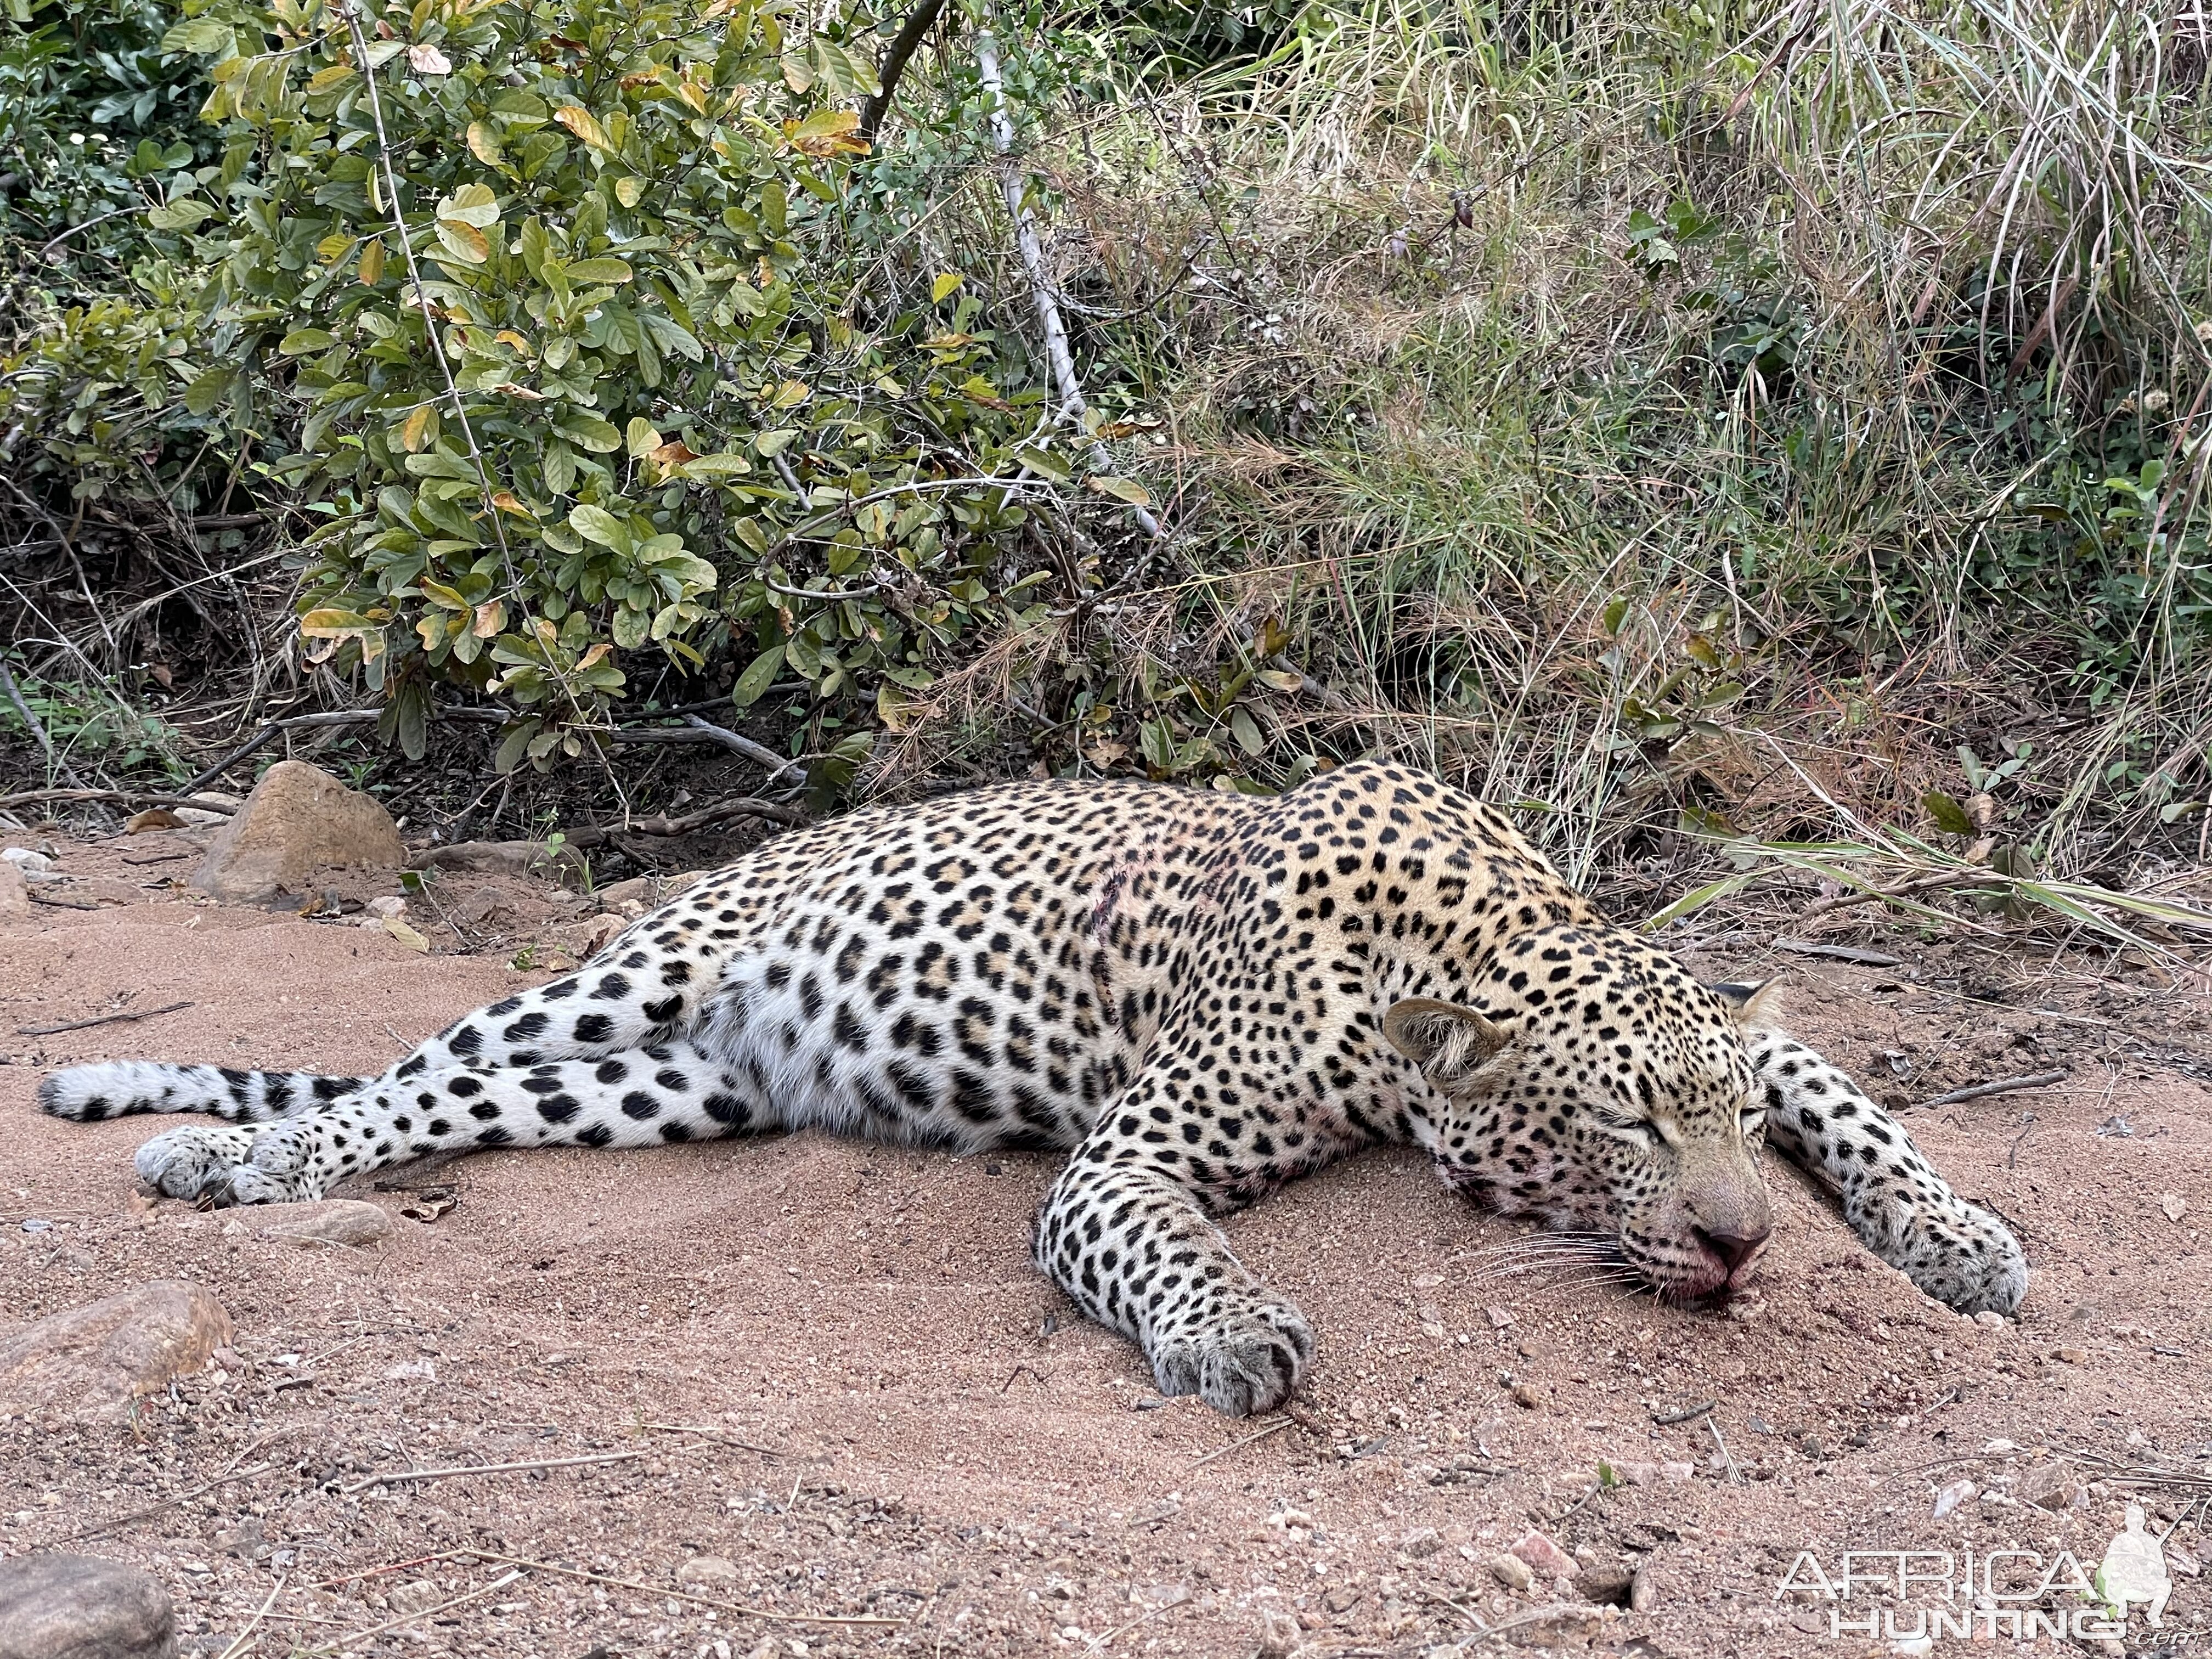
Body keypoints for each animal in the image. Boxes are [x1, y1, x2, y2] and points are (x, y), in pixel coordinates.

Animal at [30, 765, 2026, 1415]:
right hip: (624, 975)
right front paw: (1237, 1338)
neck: (1468, 924)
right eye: (1620, 1128)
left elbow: (1852, 1096)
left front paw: (1965, 1239)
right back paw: (222, 1153)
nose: (1743, 1247)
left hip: (664, 1092)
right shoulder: (1129, 1159)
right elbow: (1169, 1245)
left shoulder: (1759, 1043)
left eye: (1716, 1124)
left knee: (468, 1102)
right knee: (395, 1077)